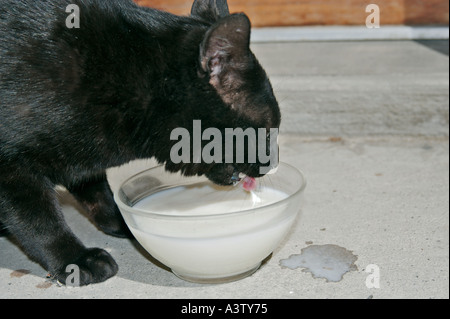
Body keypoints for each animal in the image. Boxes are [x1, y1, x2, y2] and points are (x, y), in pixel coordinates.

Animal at [0, 0, 282, 286]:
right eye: (268, 129)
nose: (273, 162)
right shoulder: (11, 168)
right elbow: (39, 219)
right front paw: (74, 259)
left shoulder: (81, 151)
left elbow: (96, 190)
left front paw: (123, 218)